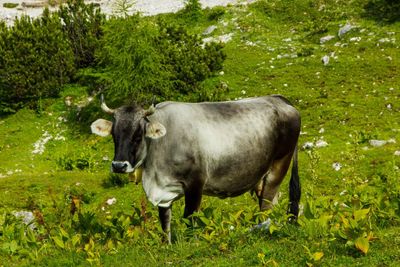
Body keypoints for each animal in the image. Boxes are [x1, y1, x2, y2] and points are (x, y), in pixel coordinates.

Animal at [90, 95, 300, 244]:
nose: (119, 165)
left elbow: (189, 218)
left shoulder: (195, 185)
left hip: (279, 164)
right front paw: (166, 245)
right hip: (260, 175)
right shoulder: (164, 193)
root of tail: (277, 99)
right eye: (114, 134)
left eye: (137, 135)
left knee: (266, 204)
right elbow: (165, 224)